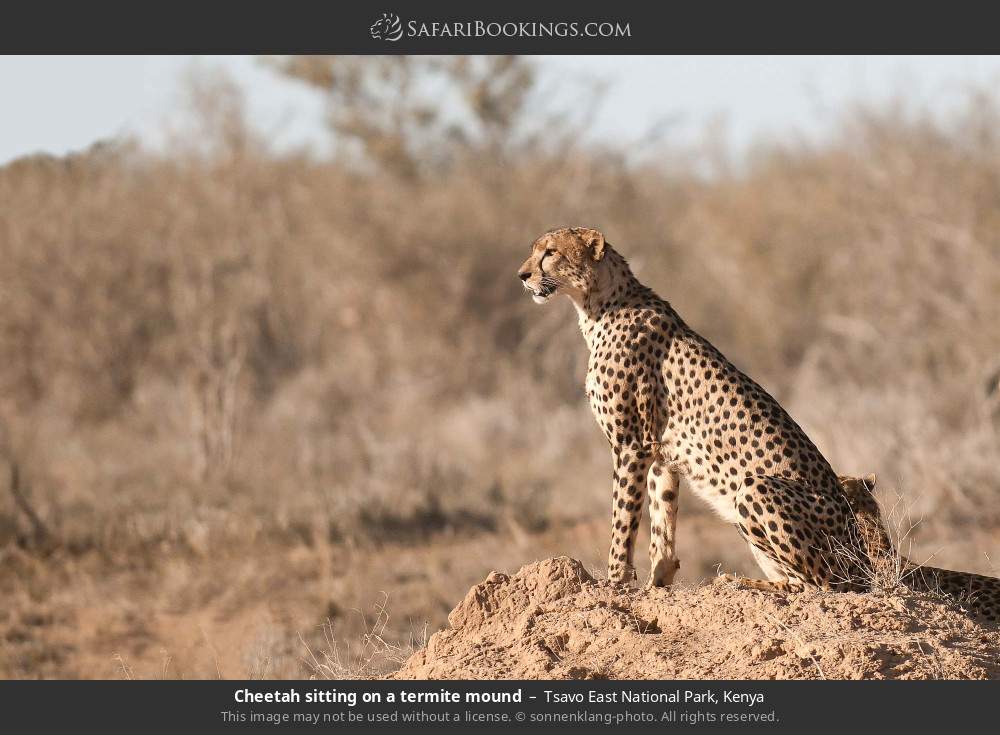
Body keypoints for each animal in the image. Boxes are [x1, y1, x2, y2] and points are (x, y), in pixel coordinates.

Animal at [516, 229, 868, 592]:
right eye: (535, 251)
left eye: (551, 252)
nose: (522, 275)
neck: (600, 304)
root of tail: (865, 563)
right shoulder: (660, 454)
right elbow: (662, 522)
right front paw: (656, 583)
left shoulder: (631, 446)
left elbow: (623, 519)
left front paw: (614, 582)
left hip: (755, 489)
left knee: (817, 585)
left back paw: (737, 581)